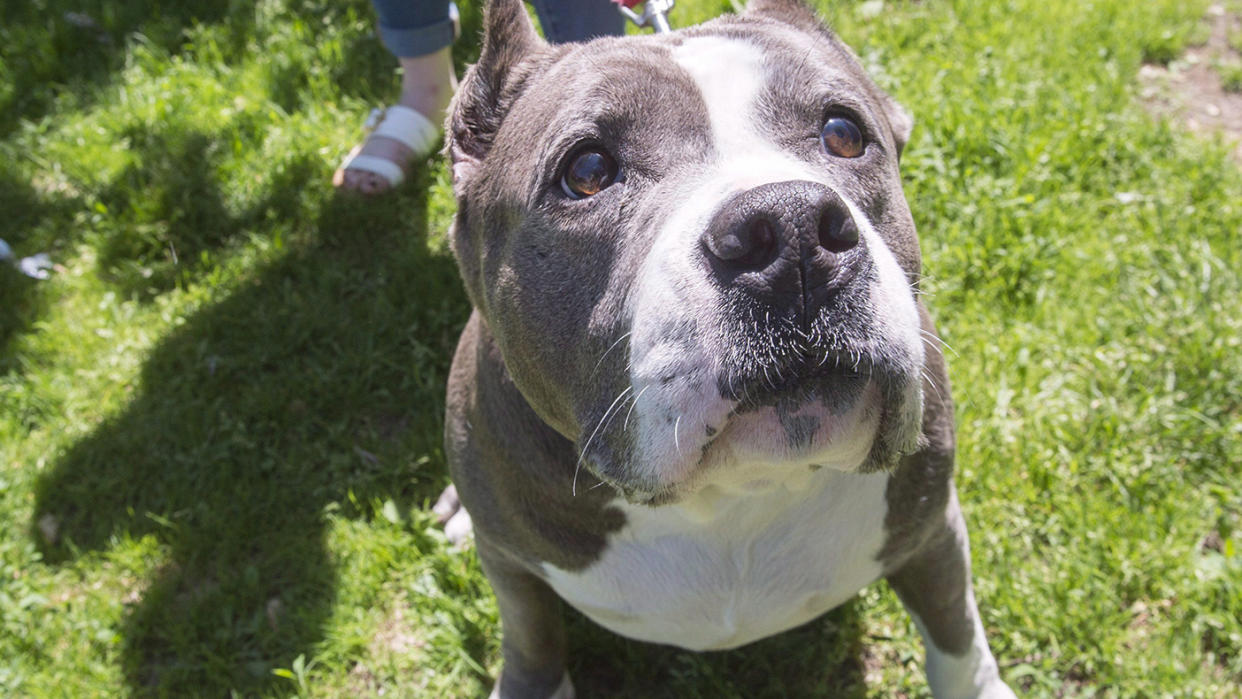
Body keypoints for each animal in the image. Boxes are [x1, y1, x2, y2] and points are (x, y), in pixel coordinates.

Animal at [439, 2, 1018, 695]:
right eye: (586, 172)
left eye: (844, 133)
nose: (792, 228)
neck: (737, 491)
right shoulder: (511, 565)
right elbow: (531, 638)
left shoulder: (933, 529)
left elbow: (956, 636)